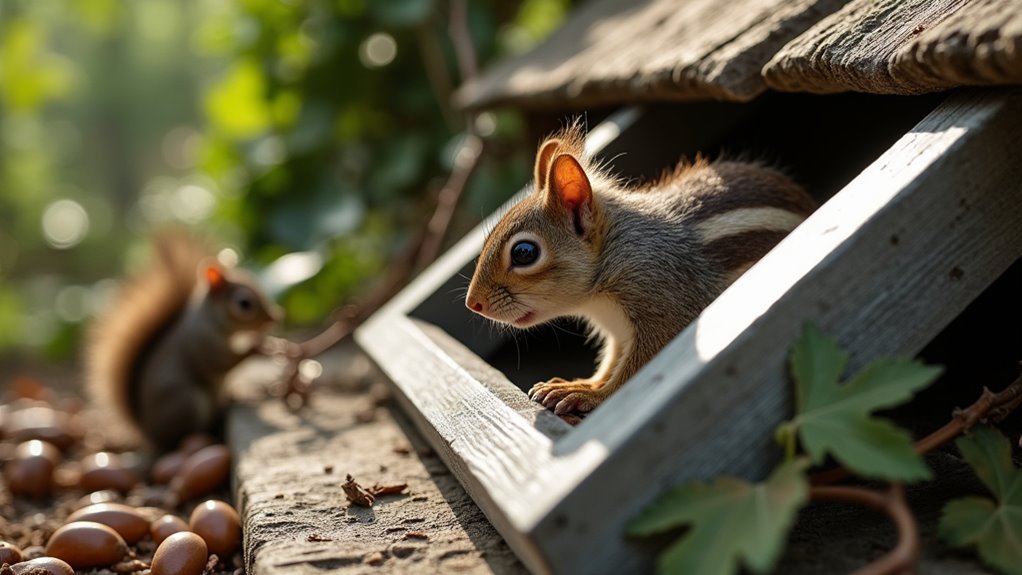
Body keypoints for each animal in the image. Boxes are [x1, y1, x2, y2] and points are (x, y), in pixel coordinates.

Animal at [86, 232, 282, 450]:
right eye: (244, 303)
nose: (275, 317)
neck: (209, 320)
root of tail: (148, 432)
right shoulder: (202, 343)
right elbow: (221, 363)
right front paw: (257, 348)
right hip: (188, 404)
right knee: (177, 439)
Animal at [465, 124, 815, 416]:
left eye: (524, 253)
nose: (473, 303)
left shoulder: (664, 307)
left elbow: (633, 373)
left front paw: (590, 396)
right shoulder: (617, 332)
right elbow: (611, 361)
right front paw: (582, 383)